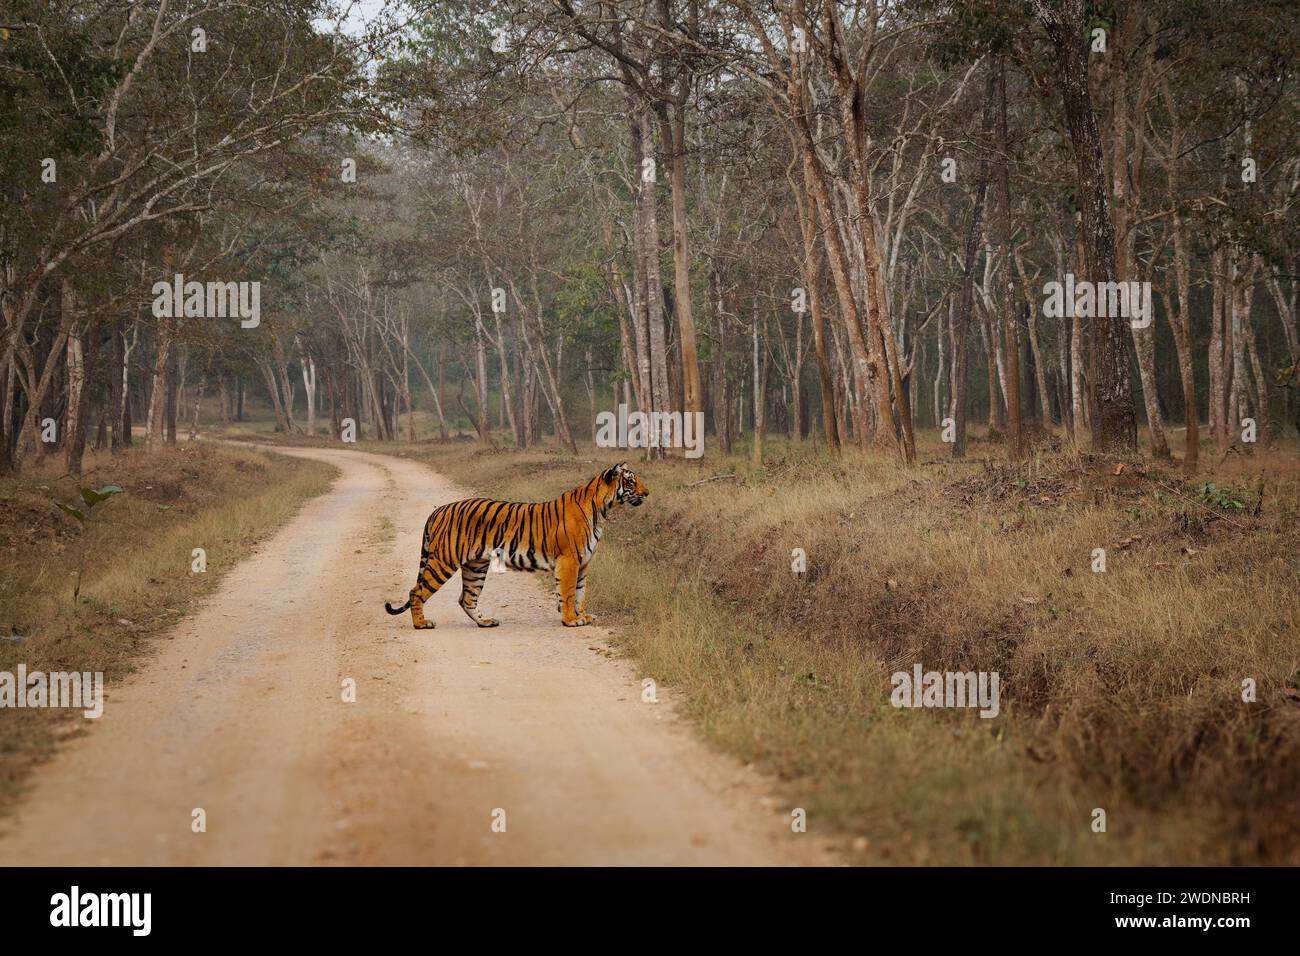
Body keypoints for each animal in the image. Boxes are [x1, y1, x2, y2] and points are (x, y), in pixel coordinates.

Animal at [384, 463, 650, 632]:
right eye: (631, 480)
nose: (647, 493)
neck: (601, 510)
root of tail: (438, 509)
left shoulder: (583, 563)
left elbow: (580, 593)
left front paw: (582, 616)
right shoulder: (570, 560)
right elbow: (568, 592)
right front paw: (571, 620)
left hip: (475, 566)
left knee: (466, 598)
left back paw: (485, 622)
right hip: (443, 561)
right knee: (416, 591)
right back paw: (421, 624)